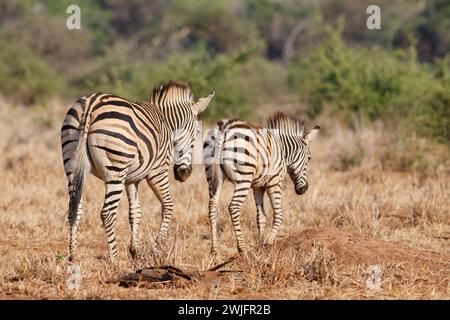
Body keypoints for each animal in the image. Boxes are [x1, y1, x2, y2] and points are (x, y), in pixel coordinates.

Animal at [61, 79, 214, 260]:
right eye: (196, 133)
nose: (184, 174)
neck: (167, 123)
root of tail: (91, 104)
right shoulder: (157, 171)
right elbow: (168, 204)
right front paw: (160, 245)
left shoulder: (131, 179)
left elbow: (135, 213)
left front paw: (135, 250)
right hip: (115, 170)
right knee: (107, 213)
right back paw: (114, 258)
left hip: (72, 164)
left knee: (74, 208)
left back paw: (73, 255)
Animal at [204, 112, 320, 258]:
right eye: (309, 158)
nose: (304, 189)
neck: (283, 149)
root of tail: (224, 128)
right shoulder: (275, 182)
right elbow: (279, 214)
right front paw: (269, 242)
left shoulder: (258, 187)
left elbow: (261, 216)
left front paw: (260, 245)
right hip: (244, 177)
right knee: (234, 207)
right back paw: (242, 249)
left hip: (213, 178)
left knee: (212, 206)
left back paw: (214, 251)